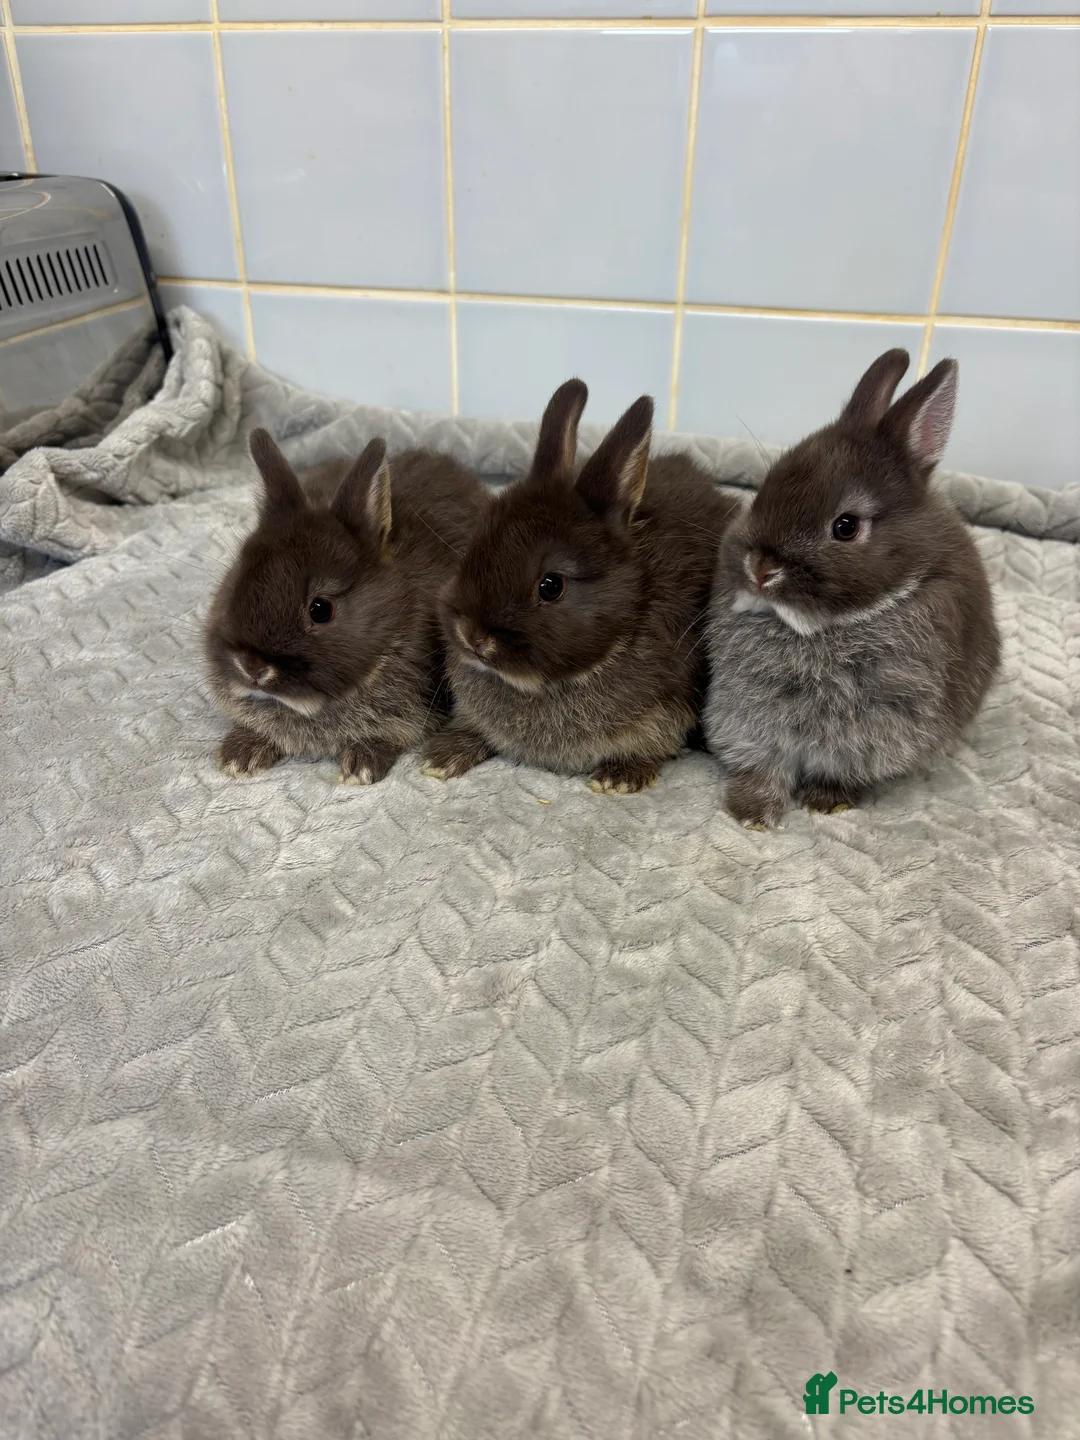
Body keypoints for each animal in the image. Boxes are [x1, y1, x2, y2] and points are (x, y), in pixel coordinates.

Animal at [421, 378, 739, 793]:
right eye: (475, 547)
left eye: (550, 586)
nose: (472, 637)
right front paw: (441, 757)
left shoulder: (669, 706)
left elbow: (653, 745)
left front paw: (618, 779)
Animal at [703, 348, 1000, 828]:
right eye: (765, 489)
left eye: (846, 526)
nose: (760, 569)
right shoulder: (748, 716)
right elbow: (763, 764)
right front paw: (751, 812)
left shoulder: (877, 725)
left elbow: (841, 765)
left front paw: (827, 801)